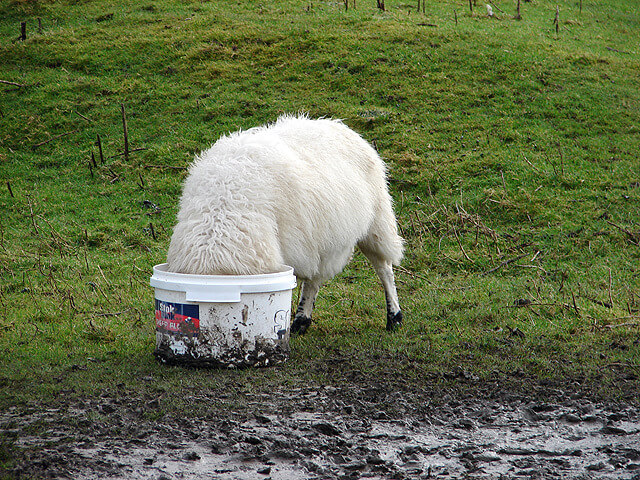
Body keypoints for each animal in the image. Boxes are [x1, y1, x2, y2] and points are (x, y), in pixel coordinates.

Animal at [166, 115, 404, 334]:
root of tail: (338, 124)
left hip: (376, 222)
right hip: (322, 237)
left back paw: (394, 317)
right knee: (314, 280)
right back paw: (301, 321)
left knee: (384, 269)